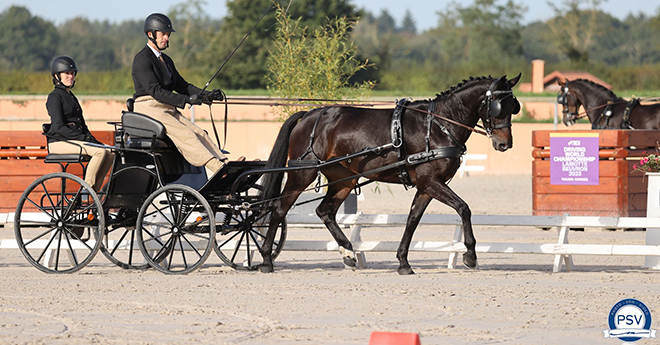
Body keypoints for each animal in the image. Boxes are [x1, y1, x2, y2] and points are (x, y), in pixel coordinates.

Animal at [258, 75, 520, 274]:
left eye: (514, 107)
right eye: (498, 106)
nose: (504, 144)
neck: (437, 126)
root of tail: (310, 115)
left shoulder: (426, 186)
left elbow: (412, 220)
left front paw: (403, 262)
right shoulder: (431, 181)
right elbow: (463, 208)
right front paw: (470, 255)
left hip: (344, 179)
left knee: (325, 211)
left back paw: (348, 253)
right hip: (303, 173)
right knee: (279, 209)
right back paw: (266, 259)